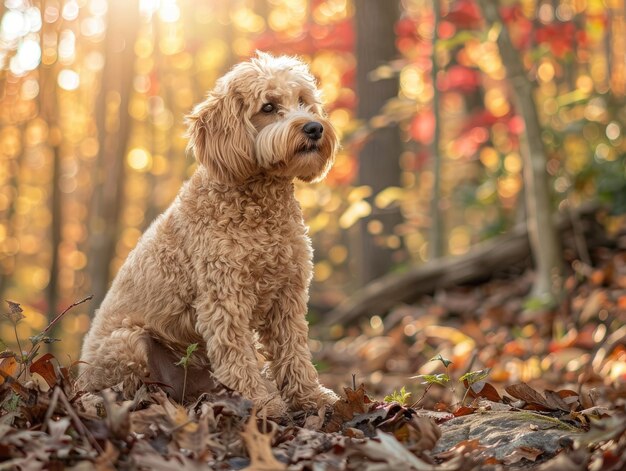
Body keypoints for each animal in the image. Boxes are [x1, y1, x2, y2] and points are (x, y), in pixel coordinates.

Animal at [80, 50, 342, 416]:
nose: (315, 127)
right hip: (129, 341)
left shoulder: (287, 294)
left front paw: (310, 396)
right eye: (268, 107)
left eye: (303, 101)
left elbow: (294, 348)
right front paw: (259, 401)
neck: (261, 205)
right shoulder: (224, 294)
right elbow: (237, 353)